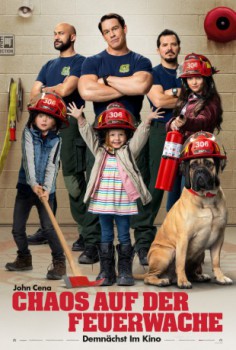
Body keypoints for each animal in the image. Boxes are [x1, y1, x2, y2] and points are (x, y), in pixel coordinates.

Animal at [136, 133, 232, 288]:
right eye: (193, 166)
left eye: (209, 164)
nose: (200, 171)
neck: (206, 199)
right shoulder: (183, 238)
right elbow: (180, 262)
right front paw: (183, 281)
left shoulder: (219, 237)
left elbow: (216, 261)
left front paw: (220, 277)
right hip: (167, 253)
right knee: (149, 276)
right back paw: (162, 280)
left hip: (200, 254)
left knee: (193, 269)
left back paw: (199, 276)